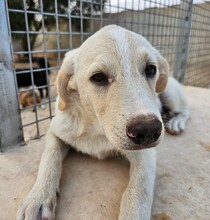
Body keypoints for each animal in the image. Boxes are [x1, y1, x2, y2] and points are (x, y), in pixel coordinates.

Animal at [16, 25, 189, 220]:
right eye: (98, 77)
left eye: (150, 69)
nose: (148, 130)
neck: (96, 130)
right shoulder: (55, 132)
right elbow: (49, 159)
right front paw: (38, 198)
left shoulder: (146, 153)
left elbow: (138, 188)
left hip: (170, 92)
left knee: (185, 109)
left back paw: (176, 122)